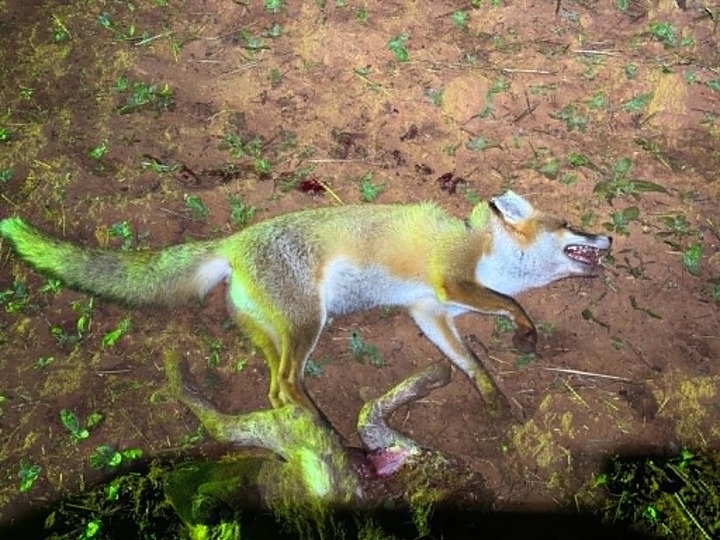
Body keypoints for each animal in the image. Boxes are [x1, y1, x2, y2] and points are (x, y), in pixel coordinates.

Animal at [0, 190, 611, 419]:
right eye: (571, 226)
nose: (608, 238)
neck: (486, 250)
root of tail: (233, 242)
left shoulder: (429, 312)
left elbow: (469, 361)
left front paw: (492, 395)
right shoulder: (452, 281)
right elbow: (508, 303)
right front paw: (526, 330)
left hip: (276, 332)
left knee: (274, 390)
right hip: (307, 324)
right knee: (287, 384)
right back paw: (329, 431)